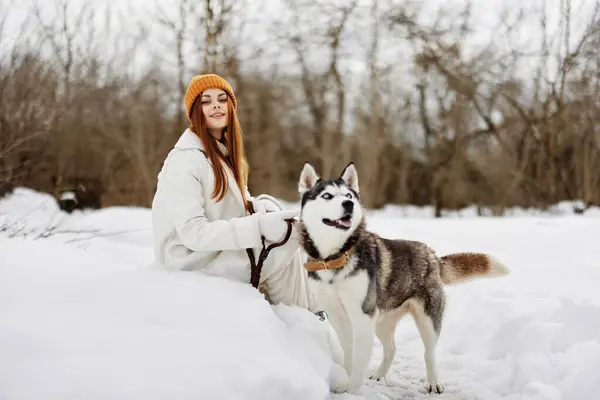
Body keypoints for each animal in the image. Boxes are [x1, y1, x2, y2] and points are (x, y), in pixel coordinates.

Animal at [298, 161, 508, 392]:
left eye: (349, 195)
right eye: (327, 195)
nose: (348, 204)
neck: (335, 257)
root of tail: (431, 255)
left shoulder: (362, 315)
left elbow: (359, 360)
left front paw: (352, 389)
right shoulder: (337, 314)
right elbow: (349, 353)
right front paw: (344, 378)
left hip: (427, 320)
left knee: (429, 353)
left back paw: (434, 382)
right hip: (381, 320)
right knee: (391, 349)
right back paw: (380, 374)